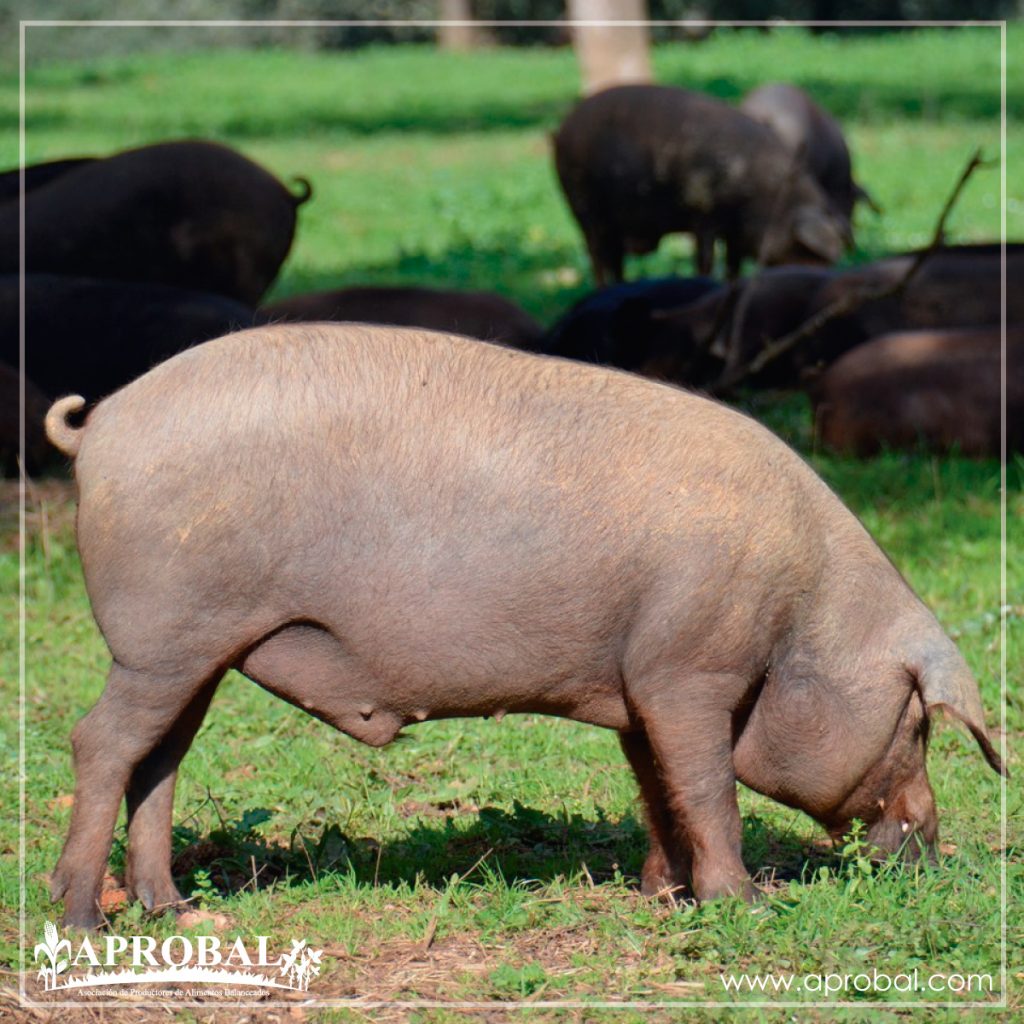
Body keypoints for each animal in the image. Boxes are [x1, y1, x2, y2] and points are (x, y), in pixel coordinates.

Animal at [552, 84, 851, 285]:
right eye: (808, 251)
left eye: (829, 262)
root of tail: (562, 129)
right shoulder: (705, 214)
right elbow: (706, 260)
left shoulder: (736, 232)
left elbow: (733, 265)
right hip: (582, 206)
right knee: (596, 255)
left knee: (614, 259)